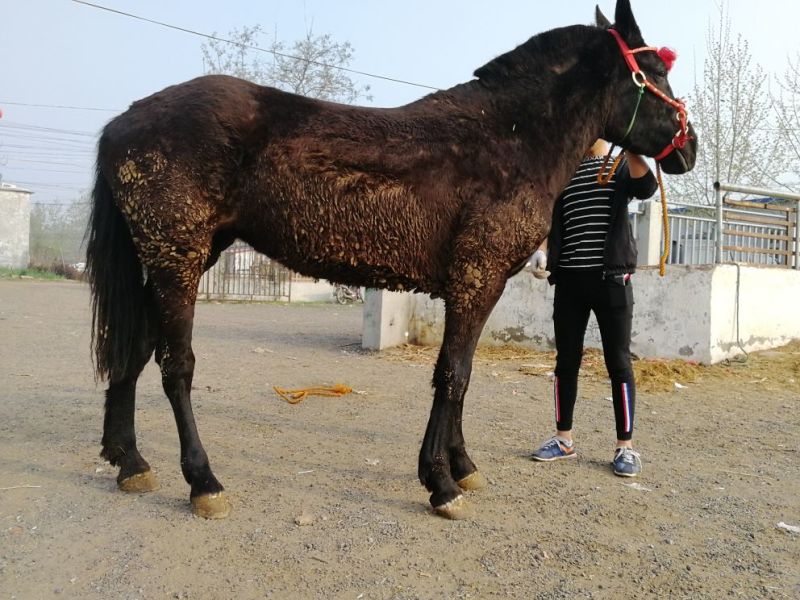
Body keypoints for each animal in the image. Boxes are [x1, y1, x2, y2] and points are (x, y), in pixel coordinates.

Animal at [86, 0, 697, 520]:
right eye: (654, 73)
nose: (688, 148)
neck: (509, 137)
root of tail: (121, 124)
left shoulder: (480, 286)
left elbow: (459, 376)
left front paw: (462, 467)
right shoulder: (476, 281)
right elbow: (453, 373)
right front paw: (441, 483)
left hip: (178, 259)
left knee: (135, 350)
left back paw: (129, 462)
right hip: (178, 261)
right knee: (175, 365)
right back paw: (203, 482)